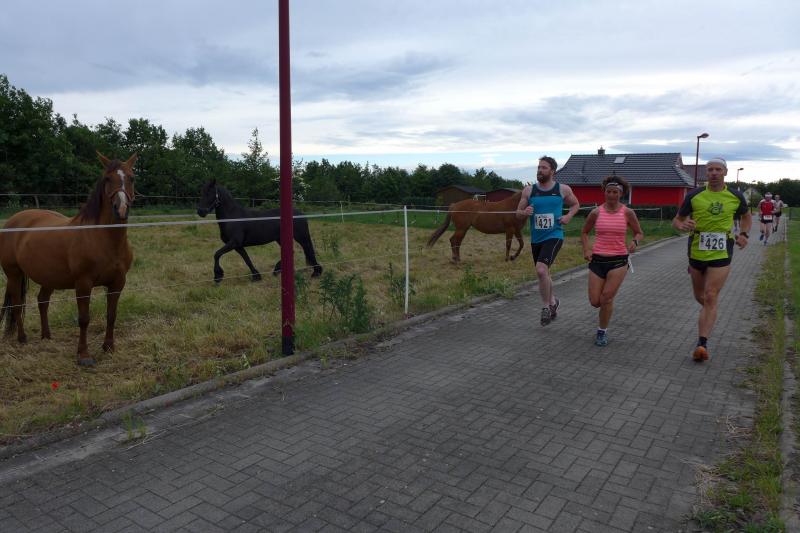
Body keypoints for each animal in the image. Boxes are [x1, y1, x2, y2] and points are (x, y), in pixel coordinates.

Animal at [0, 152, 137, 366]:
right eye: (107, 179)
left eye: (131, 178)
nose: (121, 209)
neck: (103, 238)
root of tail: (12, 221)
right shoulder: (83, 283)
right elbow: (84, 319)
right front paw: (83, 355)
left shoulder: (117, 283)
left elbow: (111, 315)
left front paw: (109, 347)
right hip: (14, 274)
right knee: (16, 303)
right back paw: (22, 338)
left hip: (48, 277)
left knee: (42, 301)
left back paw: (47, 336)